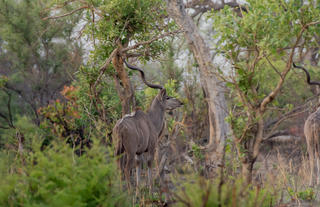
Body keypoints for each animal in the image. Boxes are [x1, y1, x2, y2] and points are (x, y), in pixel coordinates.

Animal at [112, 59, 182, 192]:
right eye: (168, 97)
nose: (180, 102)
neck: (151, 121)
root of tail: (119, 127)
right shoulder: (151, 148)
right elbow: (149, 166)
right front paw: (150, 190)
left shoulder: (139, 153)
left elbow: (139, 169)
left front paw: (139, 191)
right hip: (130, 151)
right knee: (126, 169)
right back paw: (129, 192)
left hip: (119, 150)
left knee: (117, 168)